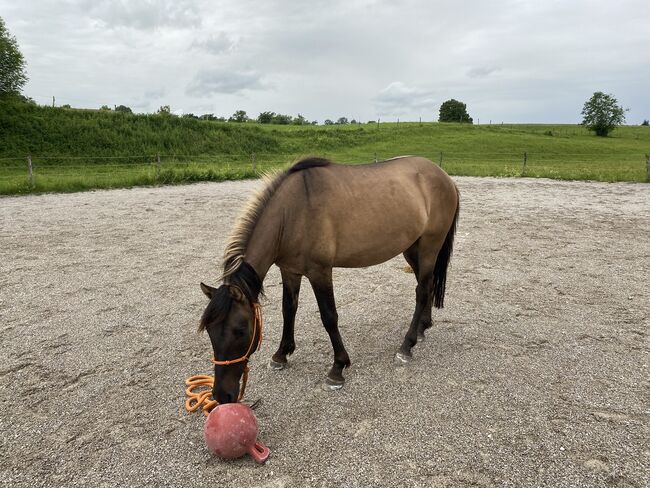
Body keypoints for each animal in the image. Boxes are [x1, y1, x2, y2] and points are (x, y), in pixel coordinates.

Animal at [196, 156, 456, 404]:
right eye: (209, 331)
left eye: (240, 330)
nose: (221, 396)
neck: (291, 213)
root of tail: (445, 177)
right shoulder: (289, 271)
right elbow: (288, 310)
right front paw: (281, 354)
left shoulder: (320, 272)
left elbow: (329, 317)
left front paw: (338, 368)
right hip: (412, 248)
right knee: (425, 285)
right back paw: (422, 328)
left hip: (429, 246)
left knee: (422, 291)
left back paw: (406, 345)